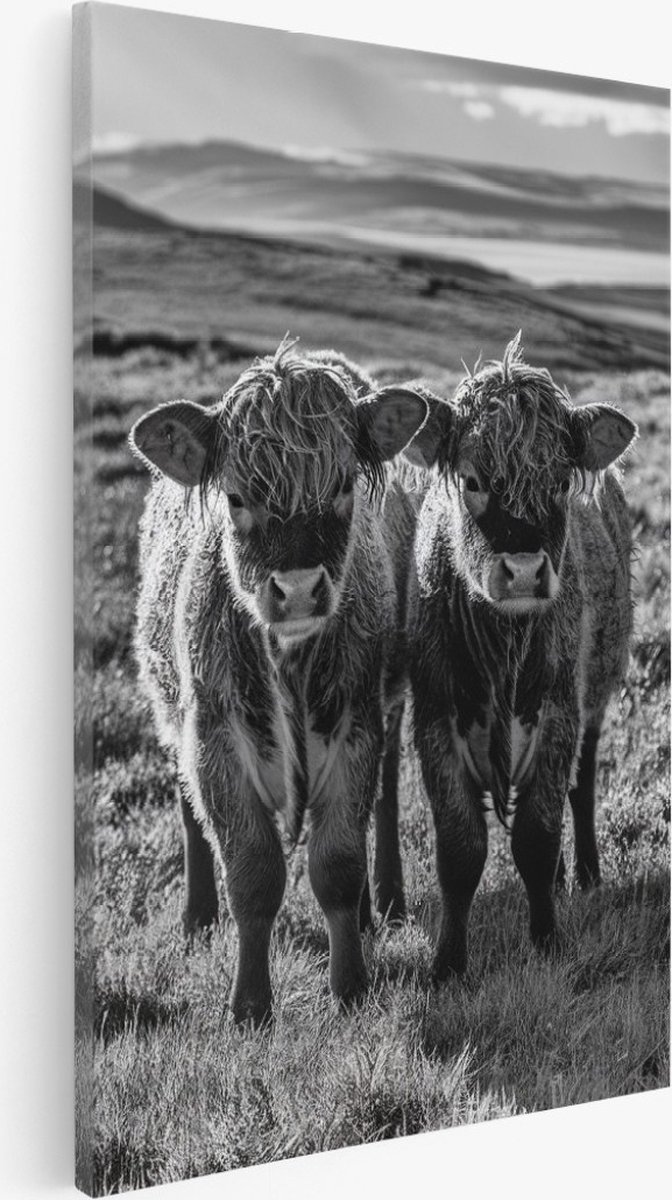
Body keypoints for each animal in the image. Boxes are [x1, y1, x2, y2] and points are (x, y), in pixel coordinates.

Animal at [129, 339, 428, 1024]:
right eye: (237, 497)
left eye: (343, 485)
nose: (296, 589)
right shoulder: (215, 741)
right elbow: (253, 874)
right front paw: (249, 1006)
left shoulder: (355, 725)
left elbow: (338, 864)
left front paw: (351, 986)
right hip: (174, 714)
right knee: (188, 811)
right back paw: (196, 918)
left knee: (386, 800)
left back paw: (385, 903)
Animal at [406, 332, 636, 979]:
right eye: (472, 479)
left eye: (558, 483)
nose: (526, 571)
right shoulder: (437, 719)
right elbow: (461, 849)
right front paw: (448, 964)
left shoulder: (559, 711)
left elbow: (536, 835)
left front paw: (547, 940)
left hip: (595, 696)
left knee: (581, 786)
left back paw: (583, 874)